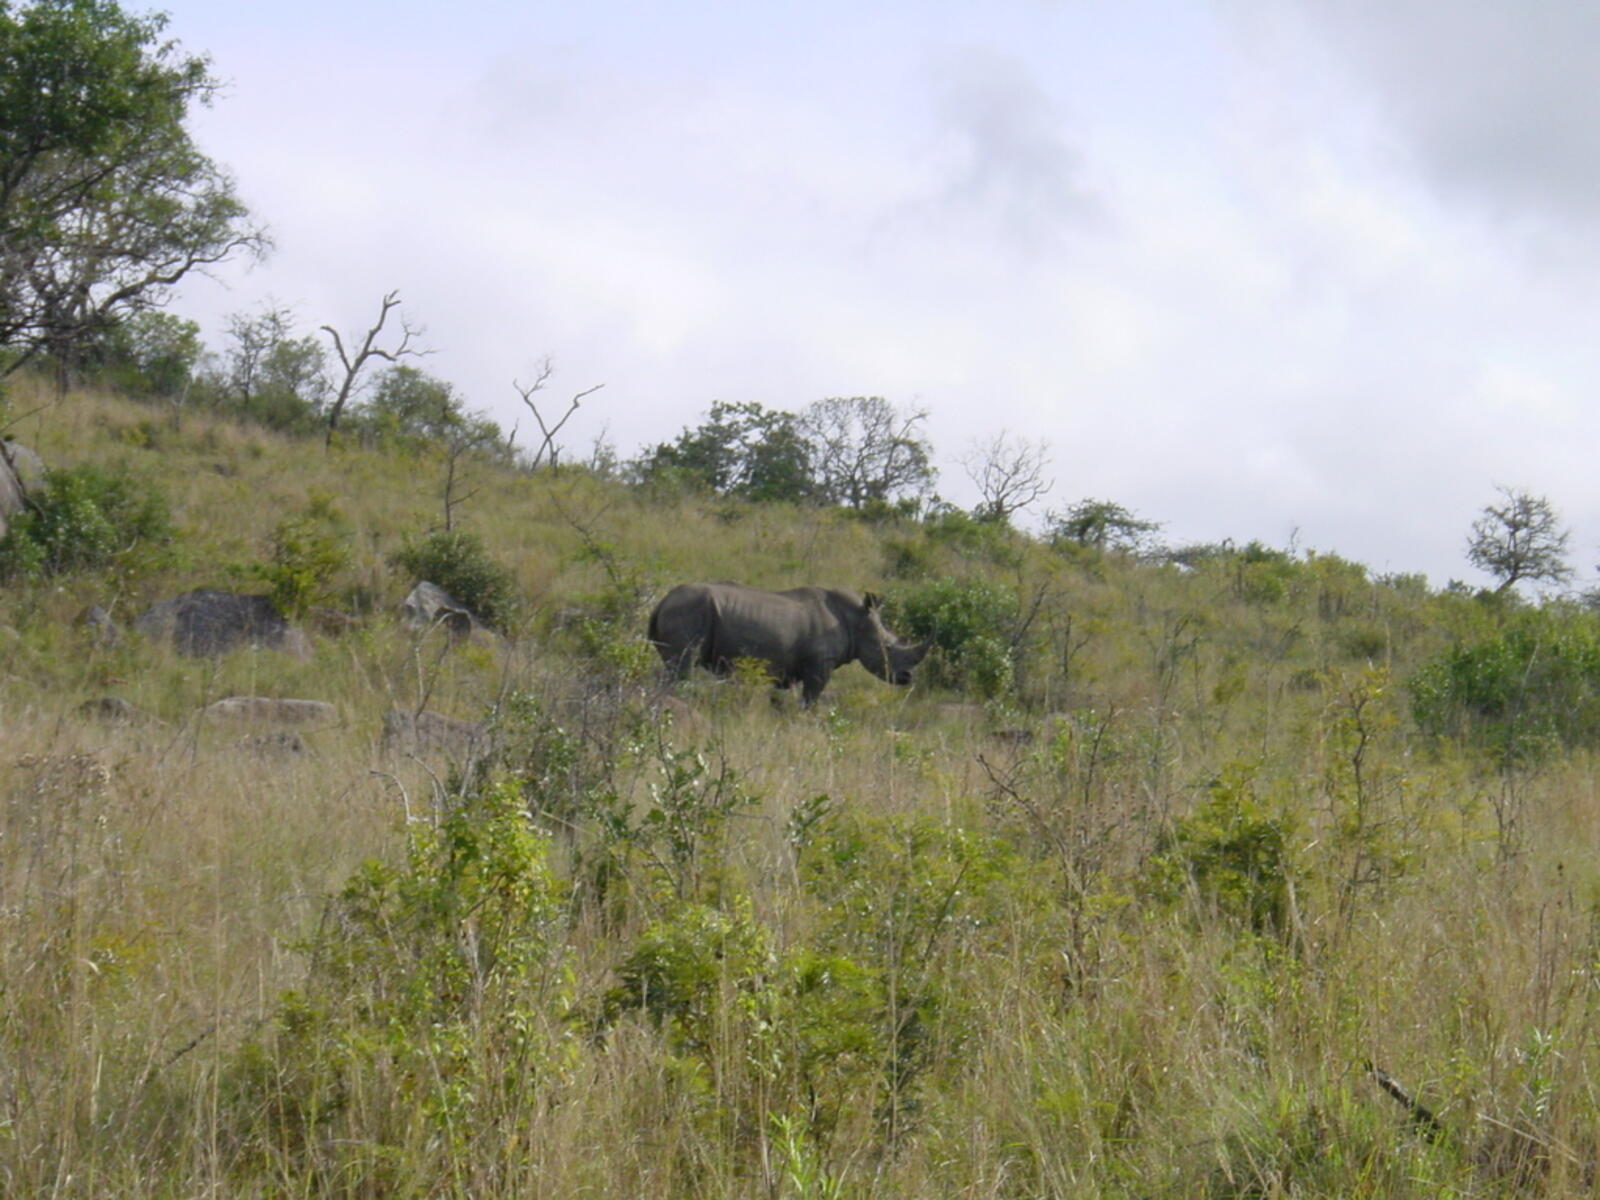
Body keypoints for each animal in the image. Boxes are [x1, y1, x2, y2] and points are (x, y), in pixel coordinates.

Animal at [649, 582, 930, 705]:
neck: (856, 618)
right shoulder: (820, 663)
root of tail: (662, 601)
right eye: (888, 648)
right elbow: (811, 697)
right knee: (682, 667)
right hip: (688, 610)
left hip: (683, 609)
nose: (908, 677)